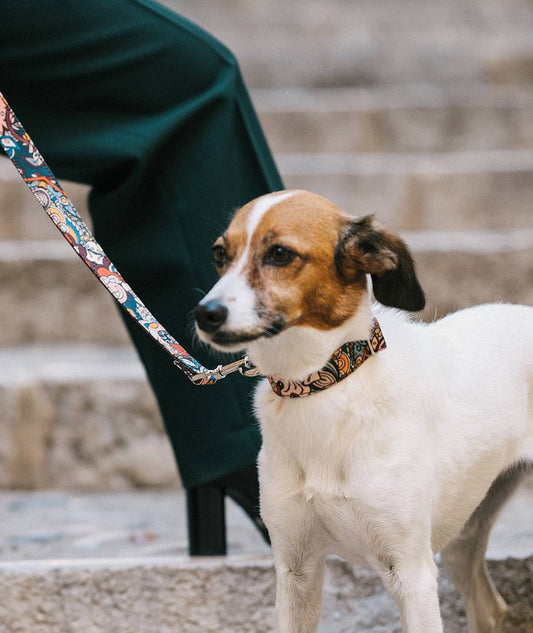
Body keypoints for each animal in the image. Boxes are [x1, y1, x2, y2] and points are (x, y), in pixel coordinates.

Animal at [195, 190, 532, 632]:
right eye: (220, 254)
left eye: (280, 254)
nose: (205, 314)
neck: (322, 385)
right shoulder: (295, 568)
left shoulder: (411, 571)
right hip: (466, 528)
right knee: (489, 608)